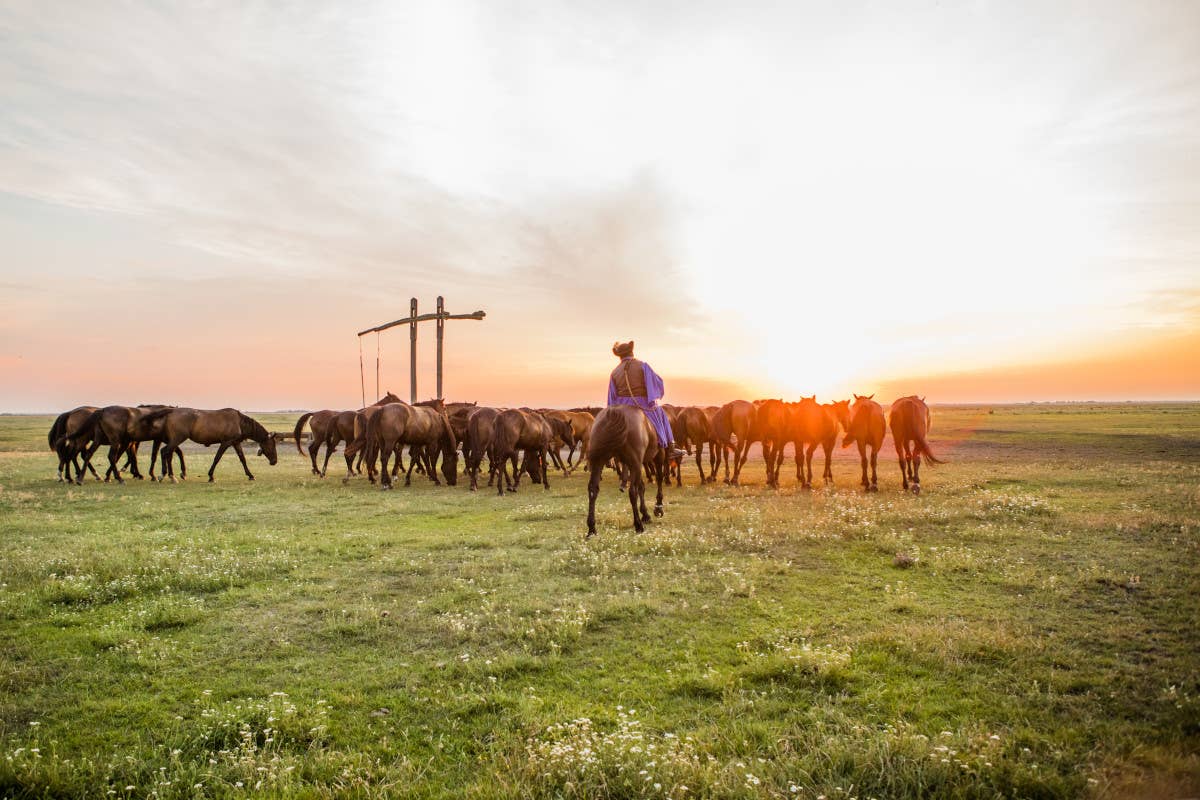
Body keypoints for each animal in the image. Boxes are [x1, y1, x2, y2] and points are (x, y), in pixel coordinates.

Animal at [583, 407, 667, 537]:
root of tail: (615, 412)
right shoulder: (657, 455)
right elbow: (657, 479)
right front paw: (658, 508)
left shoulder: (636, 464)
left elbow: (642, 486)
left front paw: (645, 514)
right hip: (637, 461)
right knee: (633, 491)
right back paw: (638, 525)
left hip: (599, 460)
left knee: (593, 489)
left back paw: (592, 529)